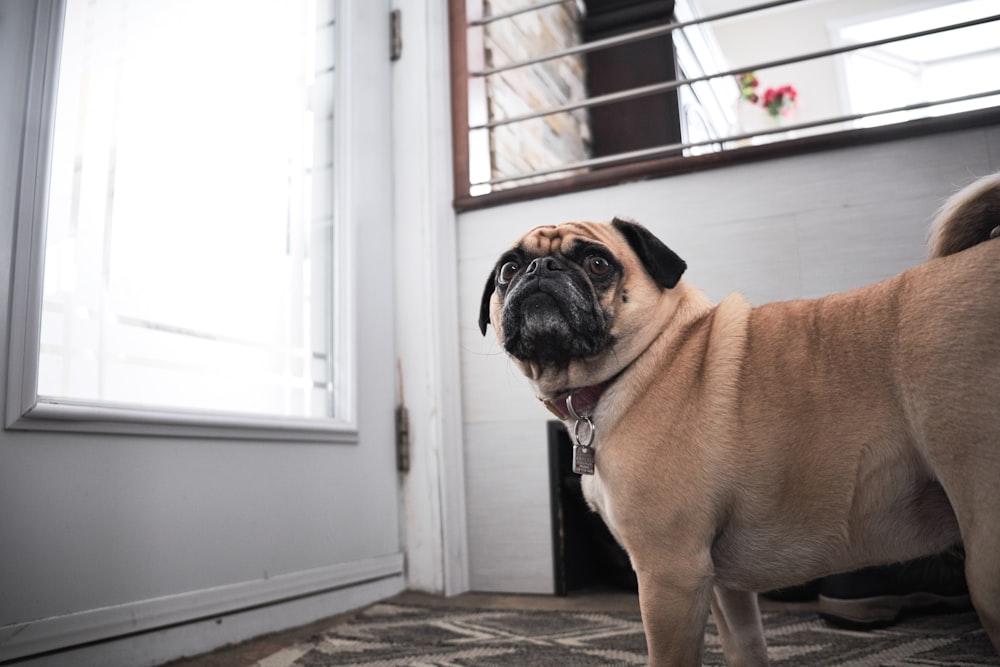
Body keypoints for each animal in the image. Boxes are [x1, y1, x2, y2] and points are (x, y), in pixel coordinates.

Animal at [476, 175, 1000, 664]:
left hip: (984, 555)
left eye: (597, 263)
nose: (541, 268)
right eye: (508, 269)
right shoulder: (723, 585)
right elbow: (746, 648)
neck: (647, 358)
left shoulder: (670, 574)